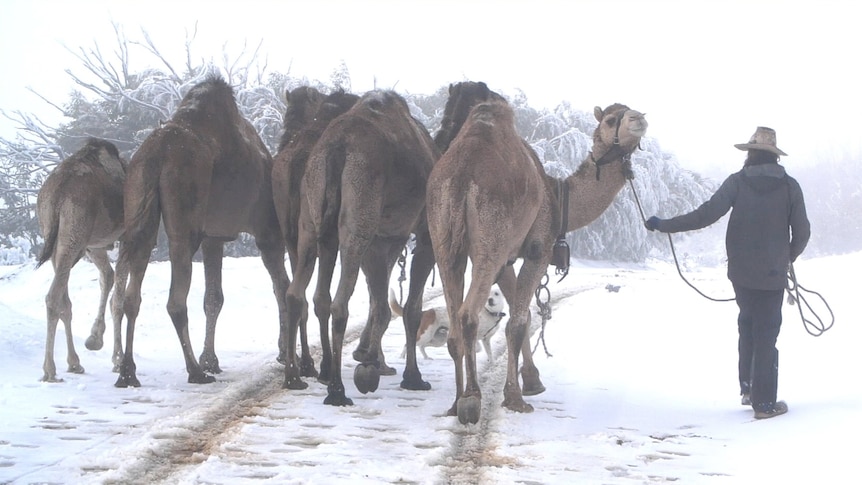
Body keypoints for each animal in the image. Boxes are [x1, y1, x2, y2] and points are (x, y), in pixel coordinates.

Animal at [36, 137, 126, 382]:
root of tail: (57, 193)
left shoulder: (94, 244)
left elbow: (108, 278)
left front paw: (95, 340)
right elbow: (119, 298)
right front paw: (118, 360)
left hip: (58, 238)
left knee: (64, 300)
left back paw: (74, 363)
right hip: (74, 235)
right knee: (53, 297)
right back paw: (50, 370)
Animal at [115, 74, 292, 386]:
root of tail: (157, 154)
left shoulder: (214, 237)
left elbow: (213, 298)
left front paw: (211, 359)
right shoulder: (267, 231)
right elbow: (280, 286)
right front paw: (282, 353)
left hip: (139, 205)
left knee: (132, 294)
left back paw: (128, 371)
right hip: (185, 220)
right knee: (175, 300)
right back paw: (194, 371)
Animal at [286, 91, 446, 404]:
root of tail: (337, 147)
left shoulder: (385, 238)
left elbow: (379, 301)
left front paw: (371, 361)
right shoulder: (419, 236)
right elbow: (408, 308)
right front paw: (409, 376)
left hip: (312, 217)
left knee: (302, 295)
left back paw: (301, 376)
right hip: (359, 215)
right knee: (339, 303)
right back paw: (337, 390)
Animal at [426, 96, 648, 422]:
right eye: (610, 120)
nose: (639, 119)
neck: (559, 196)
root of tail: (460, 175)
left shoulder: (507, 259)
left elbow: (526, 315)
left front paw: (532, 380)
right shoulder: (537, 249)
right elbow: (517, 323)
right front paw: (516, 397)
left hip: (443, 237)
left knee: (454, 320)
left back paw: (455, 402)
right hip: (490, 237)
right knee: (468, 314)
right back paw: (471, 400)